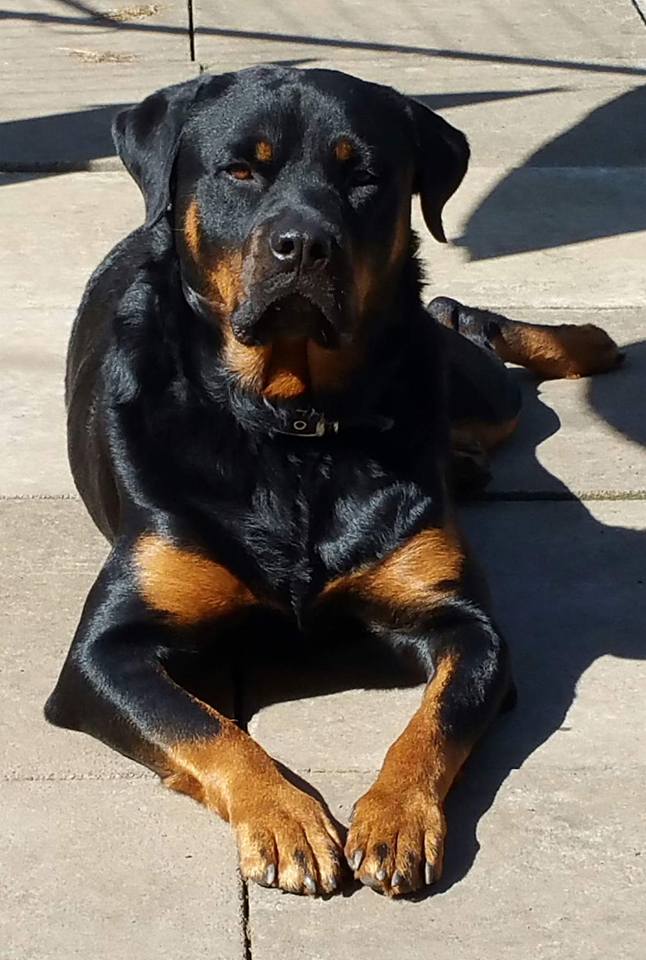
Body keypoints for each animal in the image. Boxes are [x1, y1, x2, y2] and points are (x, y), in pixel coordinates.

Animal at [45, 63, 624, 896]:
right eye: (241, 169)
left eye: (363, 175)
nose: (303, 245)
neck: (290, 426)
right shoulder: (102, 654)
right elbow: (206, 727)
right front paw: (285, 818)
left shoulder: (471, 629)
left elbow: (434, 723)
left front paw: (396, 817)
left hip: (469, 388)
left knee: (465, 325)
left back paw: (586, 341)